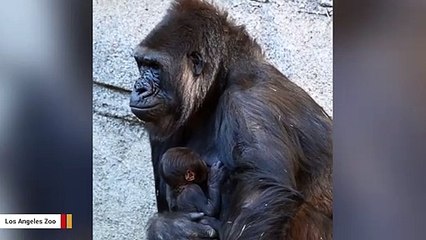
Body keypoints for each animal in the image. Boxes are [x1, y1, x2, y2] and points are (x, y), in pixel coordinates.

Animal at [130, 0, 332, 239]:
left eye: (155, 67)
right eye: (142, 64)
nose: (139, 88)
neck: (221, 79)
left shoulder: (249, 101)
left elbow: (262, 196)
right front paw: (172, 227)